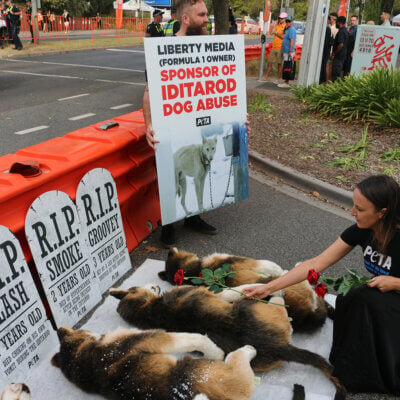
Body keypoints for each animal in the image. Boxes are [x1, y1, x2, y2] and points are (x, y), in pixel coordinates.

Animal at [50, 326, 256, 398]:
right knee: (238, 360)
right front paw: (215, 351)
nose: (58, 330)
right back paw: (248, 350)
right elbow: (194, 338)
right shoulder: (151, 337)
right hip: (227, 377)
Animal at [110, 284, 346, 400]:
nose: (156, 286)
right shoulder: (220, 294)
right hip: (255, 307)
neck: (149, 310)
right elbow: (242, 287)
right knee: (279, 303)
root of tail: (278, 346)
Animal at [159, 248, 332, 332]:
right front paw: (275, 267)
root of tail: (306, 315)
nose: (168, 250)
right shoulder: (239, 261)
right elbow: (262, 263)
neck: (196, 270)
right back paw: (296, 268)